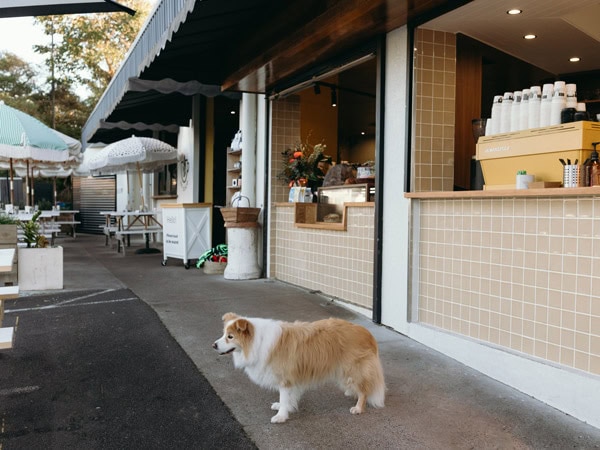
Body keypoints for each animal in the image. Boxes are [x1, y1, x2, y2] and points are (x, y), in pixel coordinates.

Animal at [213, 312, 386, 422]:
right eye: (223, 334)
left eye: (230, 337)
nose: (213, 345)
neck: (257, 341)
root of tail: (366, 332)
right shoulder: (291, 380)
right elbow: (287, 398)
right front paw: (283, 407)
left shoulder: (285, 379)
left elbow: (284, 396)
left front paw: (281, 416)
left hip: (352, 369)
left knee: (364, 390)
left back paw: (358, 407)